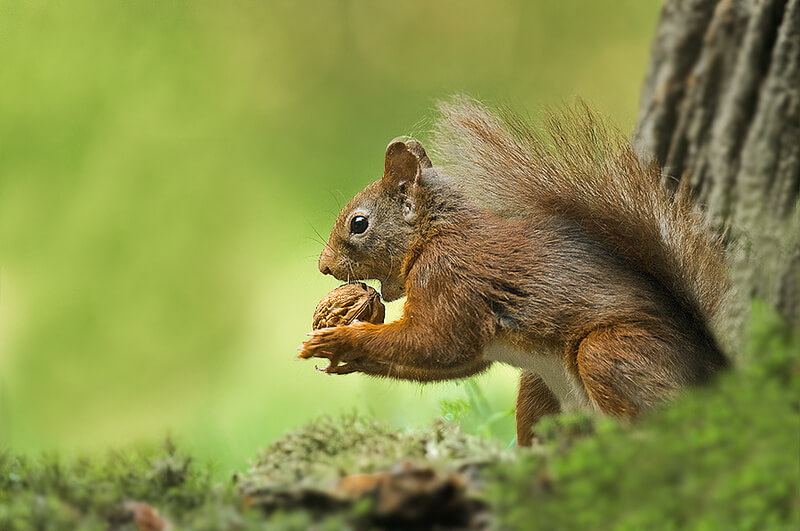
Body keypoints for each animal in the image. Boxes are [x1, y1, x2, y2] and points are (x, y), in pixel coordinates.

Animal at [299, 97, 729, 446]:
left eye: (358, 224)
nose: (323, 266)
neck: (435, 235)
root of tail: (716, 372)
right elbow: (459, 360)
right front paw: (343, 359)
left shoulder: (451, 278)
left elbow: (438, 342)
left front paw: (341, 339)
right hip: (540, 390)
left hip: (611, 352)